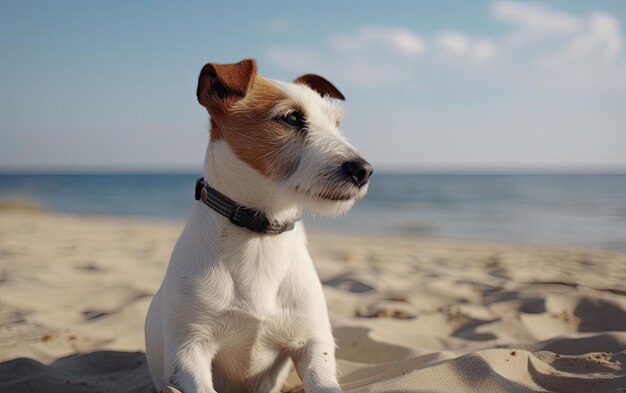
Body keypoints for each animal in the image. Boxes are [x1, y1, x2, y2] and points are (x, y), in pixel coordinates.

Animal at [145, 59, 370, 392]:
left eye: (336, 124)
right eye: (291, 118)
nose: (364, 170)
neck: (260, 236)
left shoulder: (314, 341)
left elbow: (322, 381)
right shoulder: (188, 350)